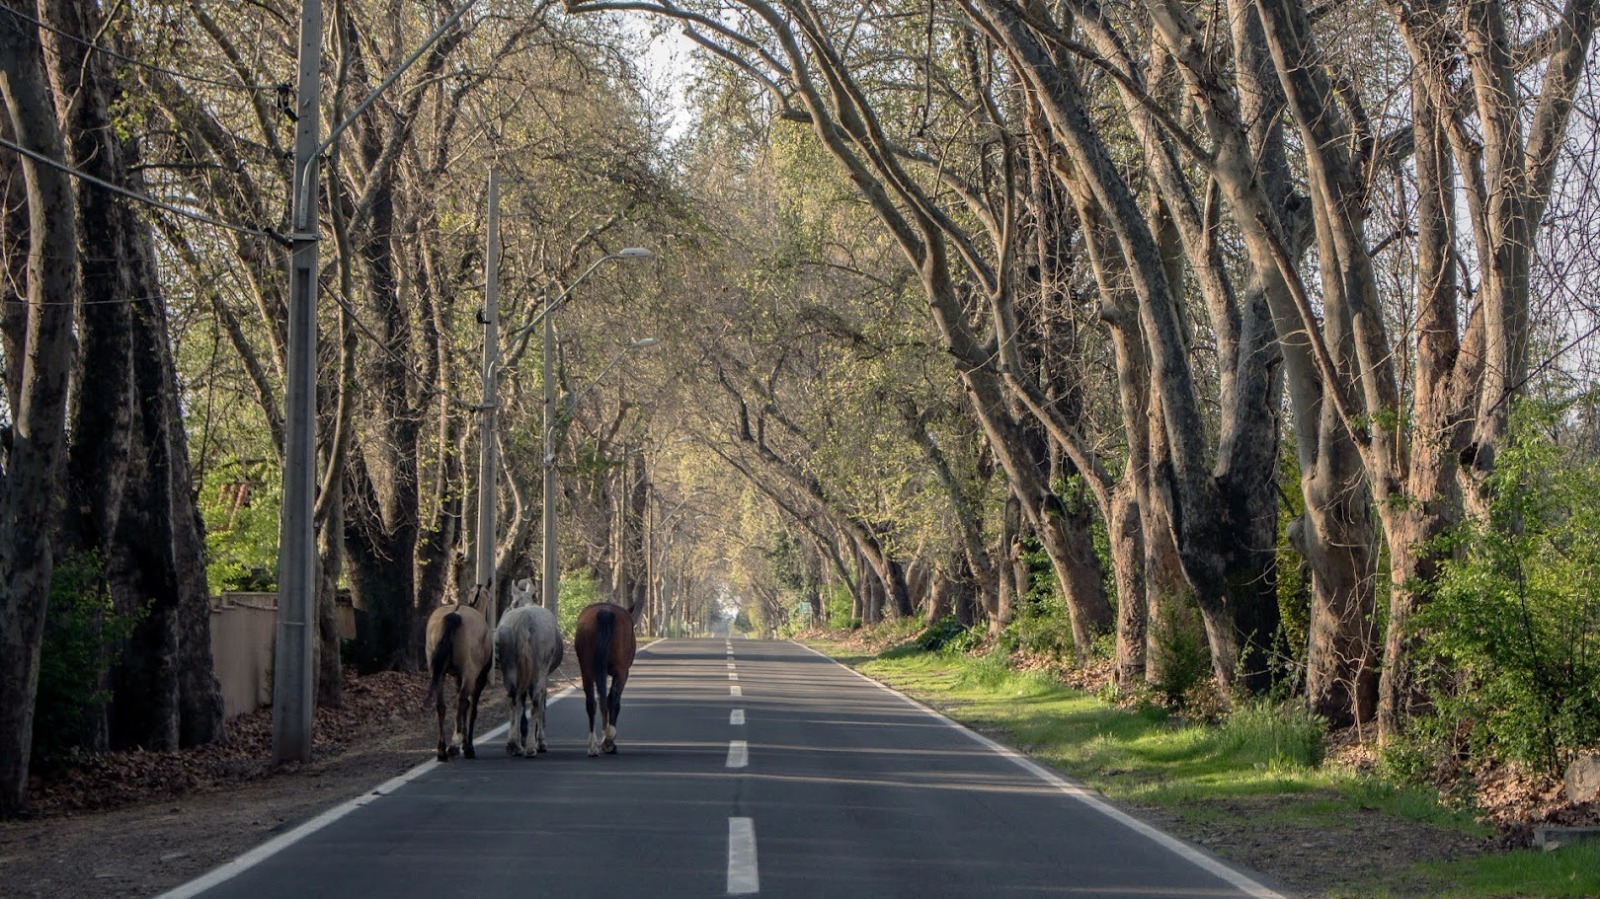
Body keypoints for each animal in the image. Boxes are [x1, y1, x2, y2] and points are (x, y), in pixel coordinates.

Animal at [422, 585, 489, 758]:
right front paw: (467, 744)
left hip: (437, 672)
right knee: (461, 702)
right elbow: (471, 708)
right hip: (470, 674)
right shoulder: (479, 678)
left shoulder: (458, 677)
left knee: (441, 705)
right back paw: (455, 743)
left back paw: (442, 748)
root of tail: (453, 615)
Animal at [496, 575, 566, 751]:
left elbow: (521, 701)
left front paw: (521, 734)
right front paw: (539, 738)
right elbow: (541, 703)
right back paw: (532, 746)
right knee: (535, 701)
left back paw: (513, 744)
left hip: (510, 668)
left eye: (511, 603)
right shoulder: (545, 673)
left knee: (513, 699)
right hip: (540, 668)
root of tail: (524, 621)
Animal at [569, 598, 630, 751]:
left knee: (592, 701)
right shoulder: (623, 672)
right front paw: (609, 739)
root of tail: (605, 612)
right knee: (611, 698)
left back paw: (593, 746)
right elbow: (614, 701)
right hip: (620, 670)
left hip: (587, 668)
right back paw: (608, 740)